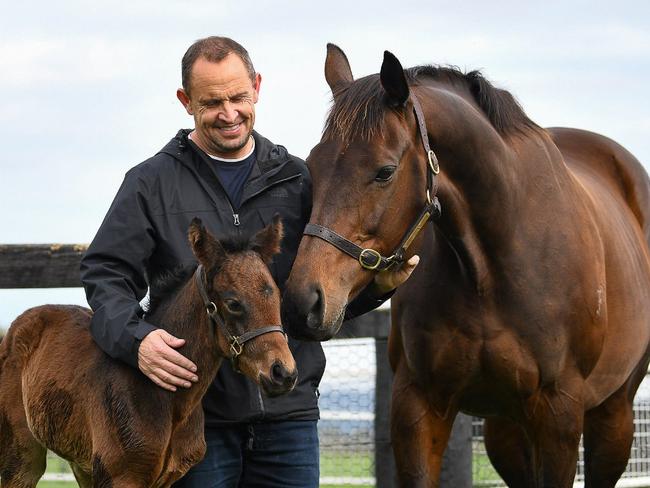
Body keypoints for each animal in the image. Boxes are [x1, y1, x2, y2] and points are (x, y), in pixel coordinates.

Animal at [0, 217, 296, 488]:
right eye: (233, 303)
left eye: (277, 295)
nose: (283, 373)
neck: (169, 401)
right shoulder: (121, 477)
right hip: (22, 458)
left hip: (81, 462)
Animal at [280, 43, 648, 486]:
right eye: (313, 165)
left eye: (385, 171)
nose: (303, 302)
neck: (490, 268)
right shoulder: (418, 405)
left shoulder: (558, 414)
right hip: (506, 428)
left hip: (614, 414)